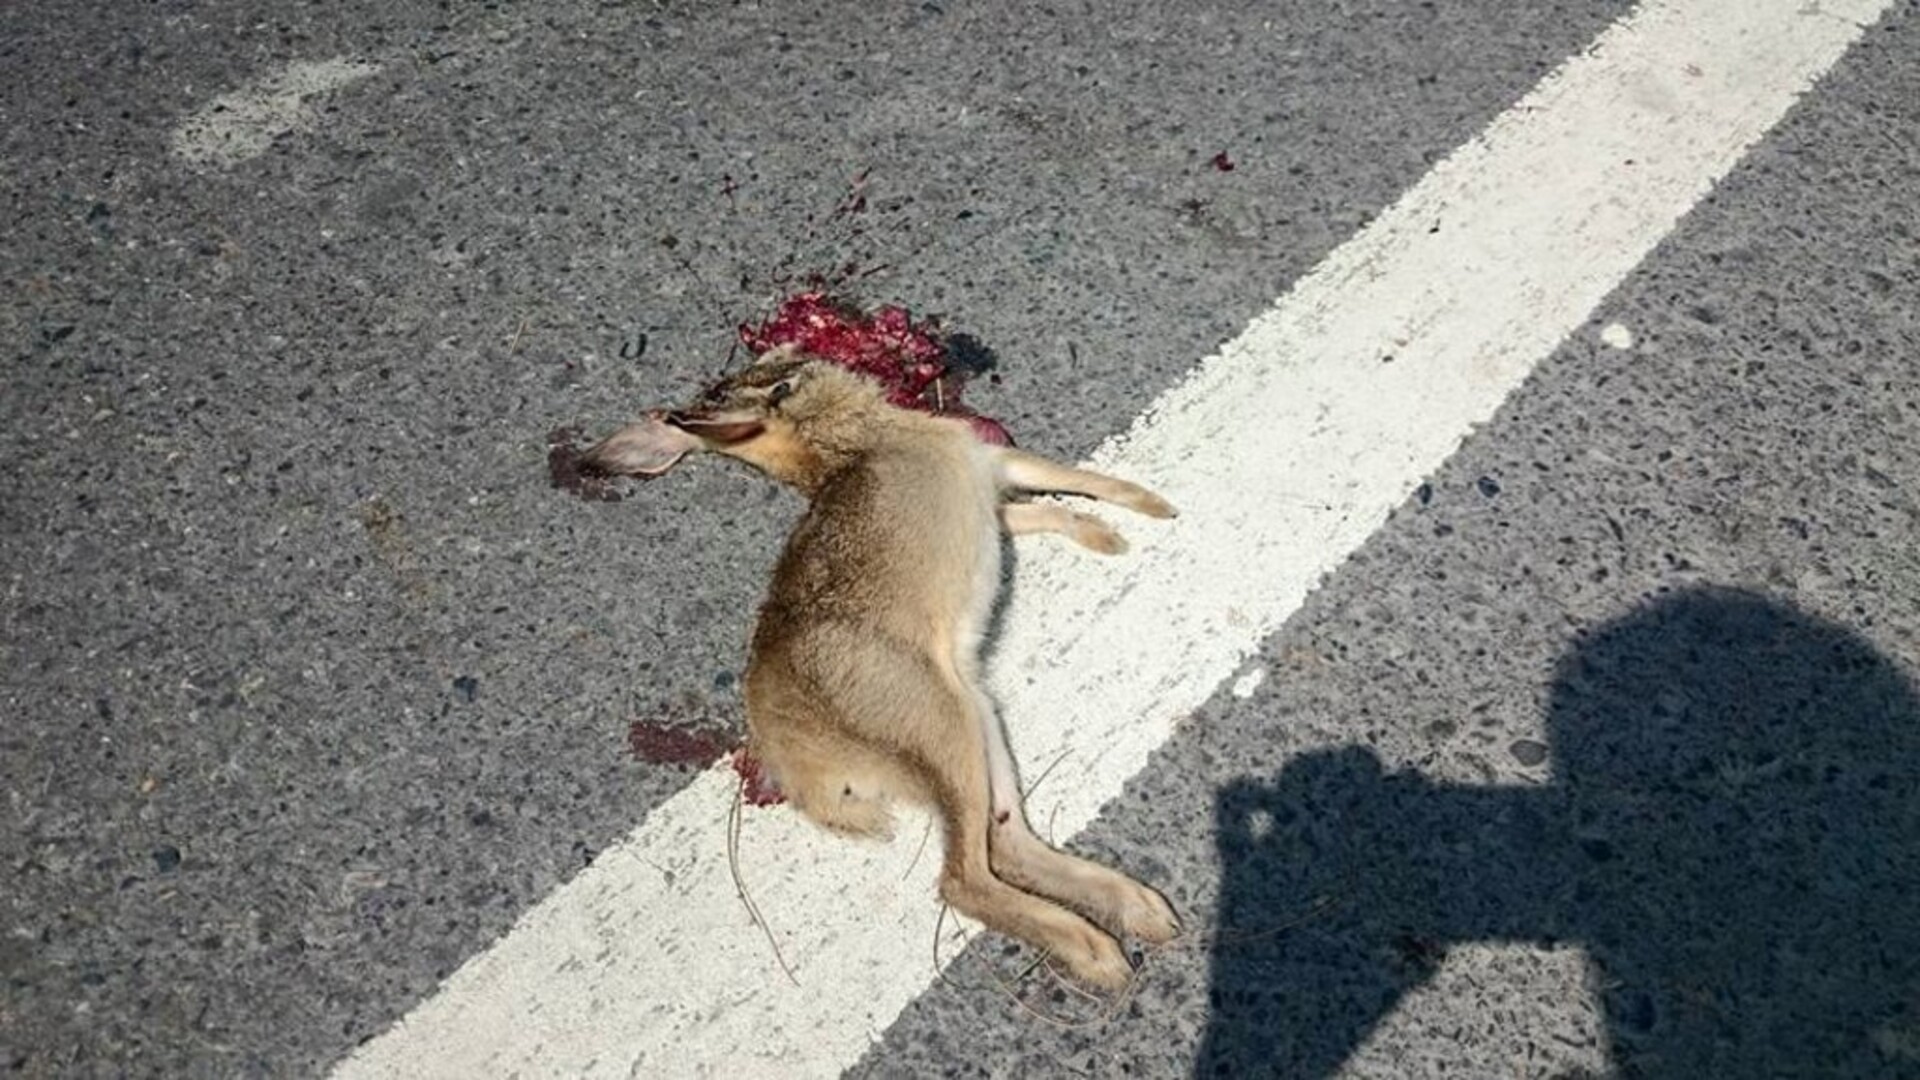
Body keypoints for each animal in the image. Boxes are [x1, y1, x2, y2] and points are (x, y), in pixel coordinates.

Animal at [584, 345, 1180, 988]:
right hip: (942, 726)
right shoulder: (990, 462)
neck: (845, 441)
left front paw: (1110, 532)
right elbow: (1072, 484)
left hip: (979, 724)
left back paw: (1144, 913)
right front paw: (1150, 512)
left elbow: (1047, 508)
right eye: (778, 387)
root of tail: (802, 756)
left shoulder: (992, 494)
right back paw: (1101, 953)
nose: (793, 353)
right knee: (964, 880)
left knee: (1007, 843)